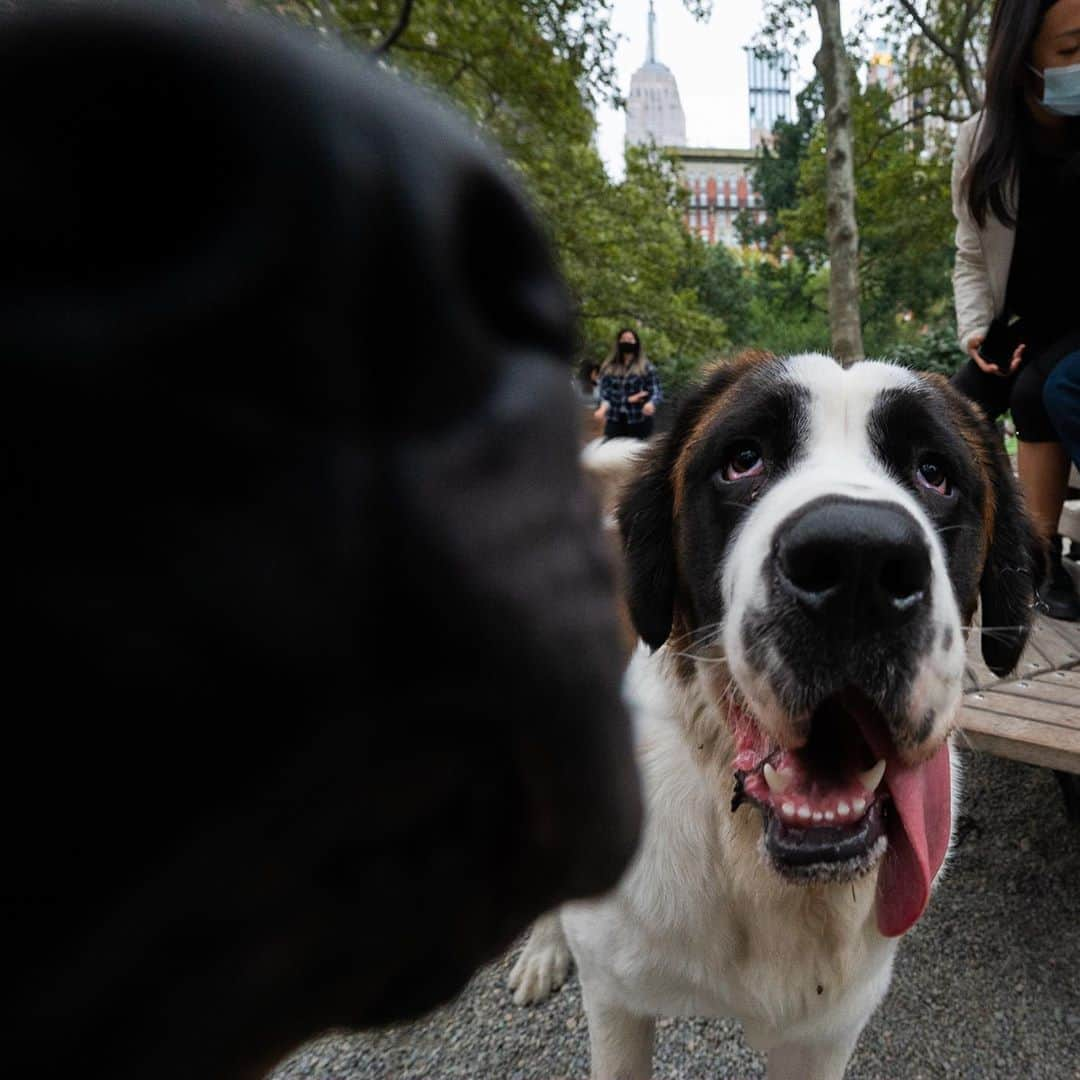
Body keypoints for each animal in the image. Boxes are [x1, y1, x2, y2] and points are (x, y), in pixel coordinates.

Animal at [509, 354, 1041, 1080]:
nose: (857, 558)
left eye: (935, 473)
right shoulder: (616, 1002)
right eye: (743, 460)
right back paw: (543, 948)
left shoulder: (825, 1035)